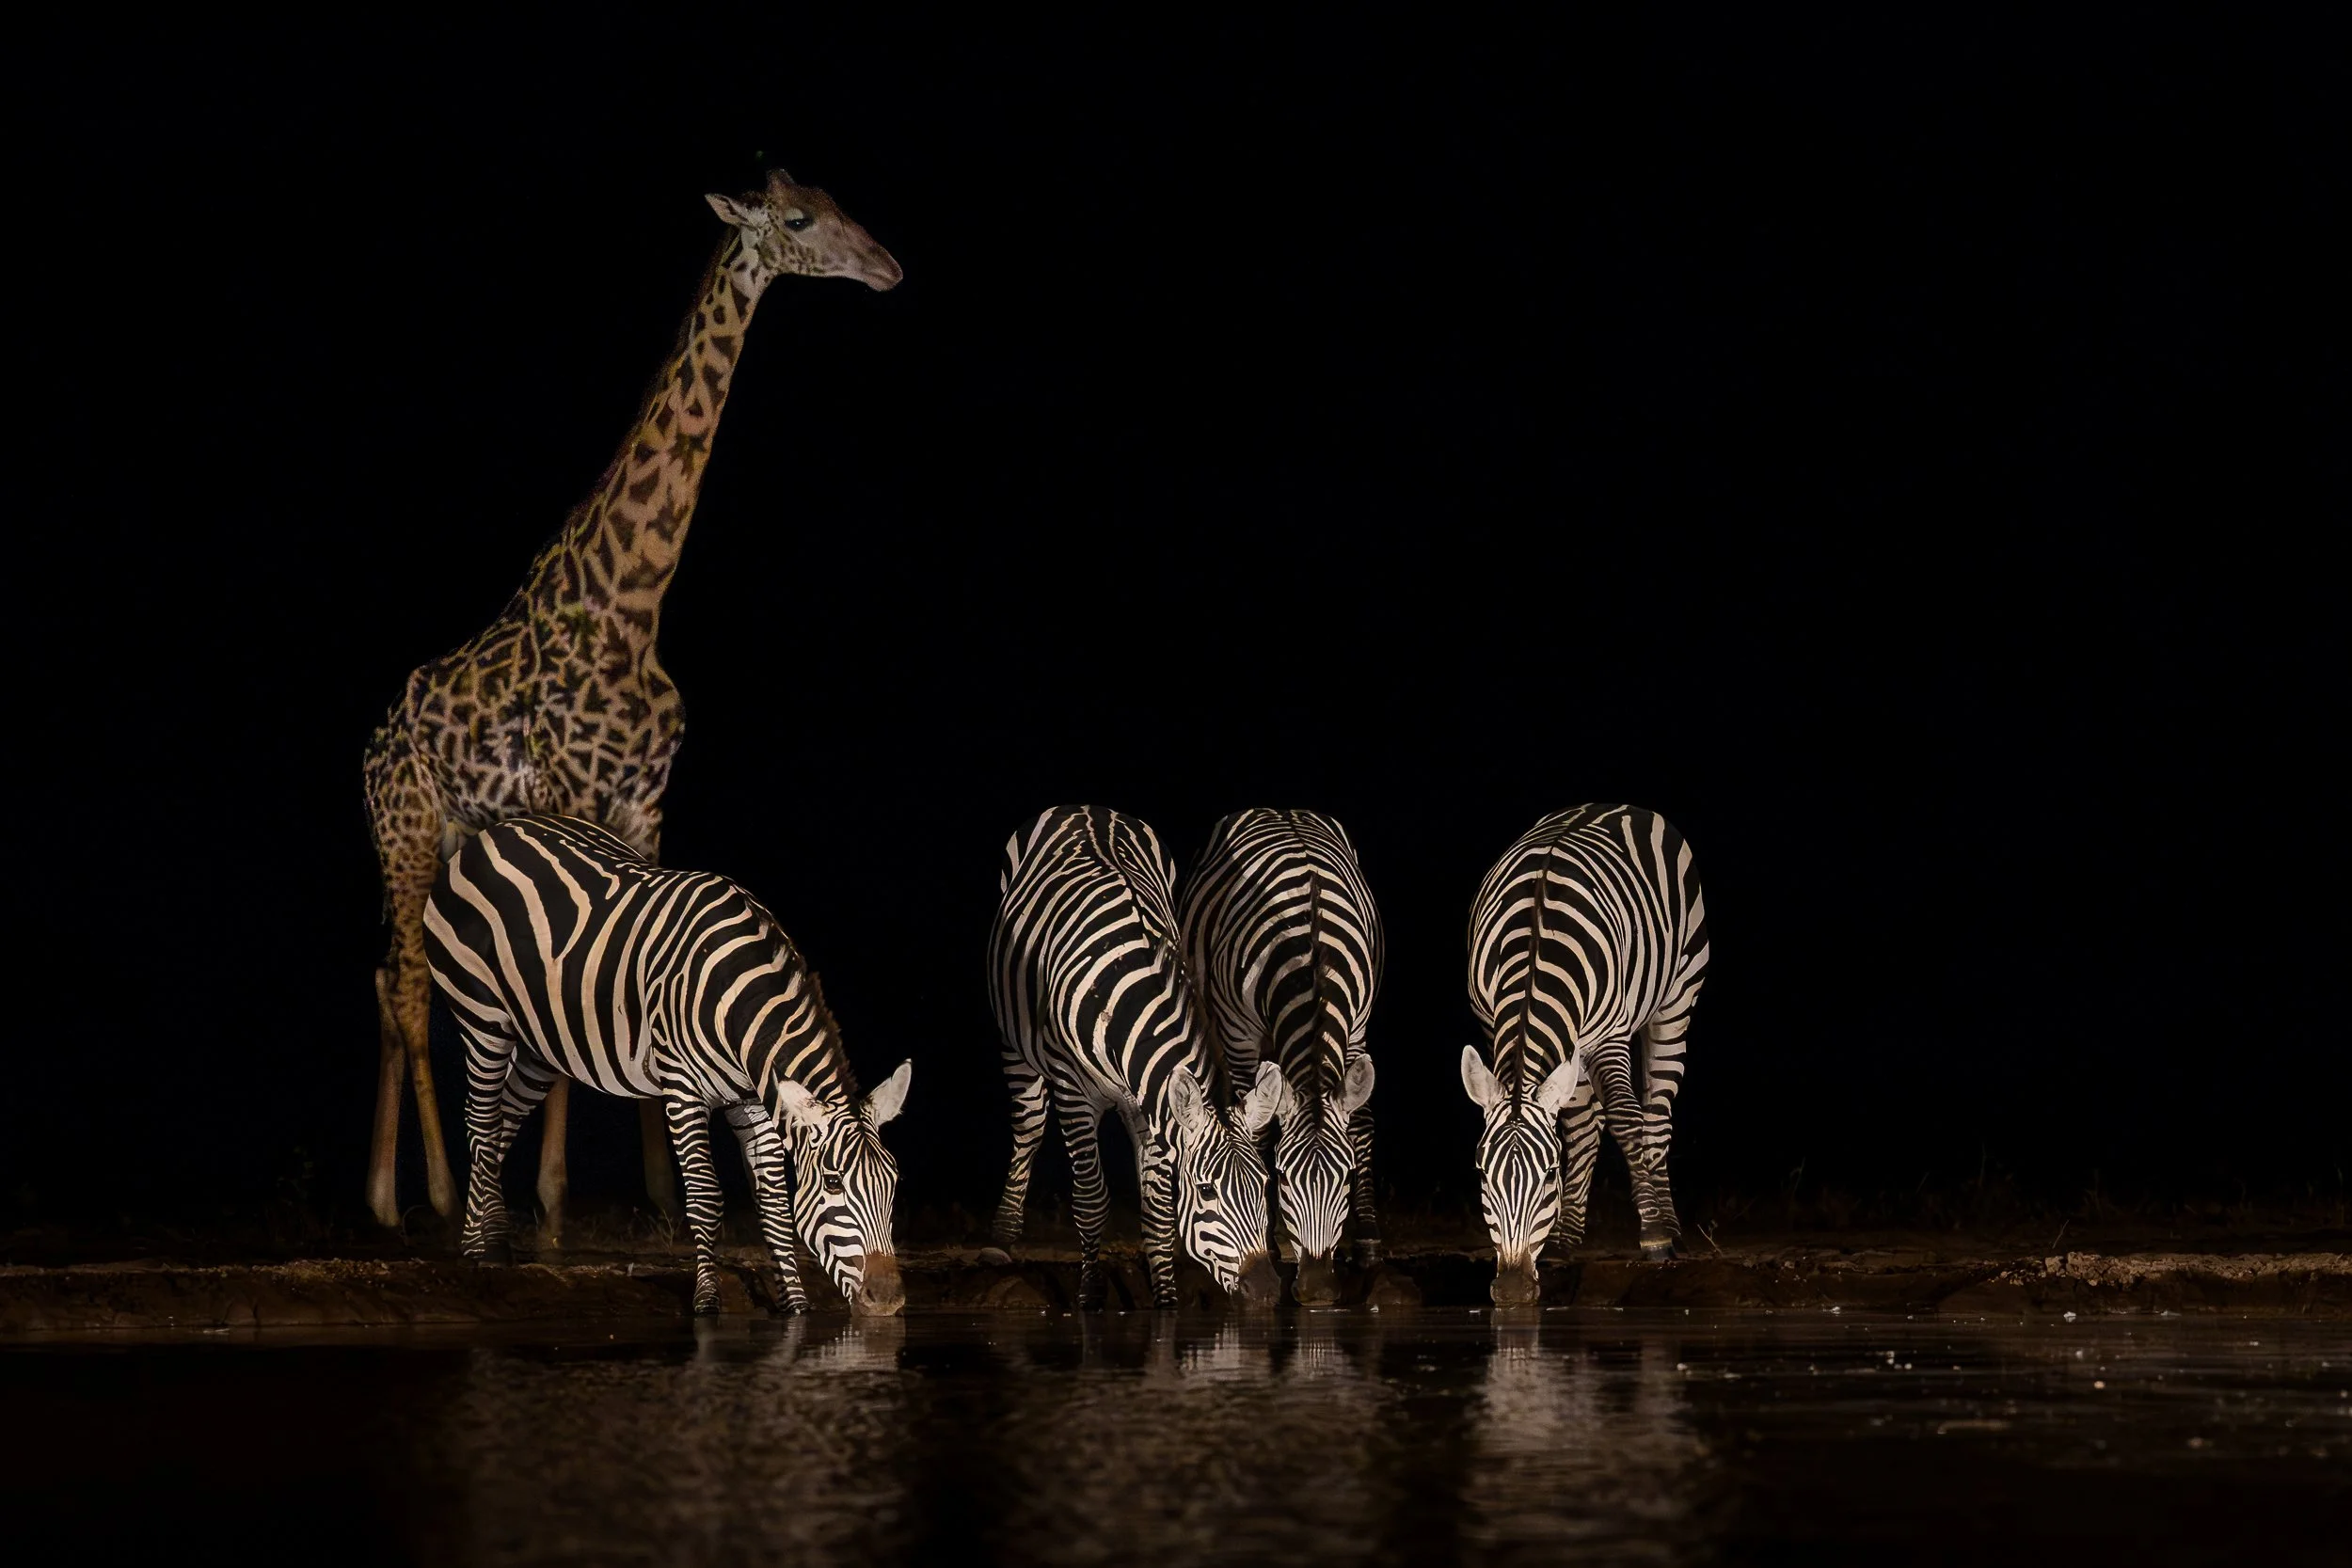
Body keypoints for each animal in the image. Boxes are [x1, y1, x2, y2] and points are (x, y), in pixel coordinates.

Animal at [362, 167, 901, 1236]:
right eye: (799, 219)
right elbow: (575, 981)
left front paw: (661, 1198)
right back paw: (435, 1193)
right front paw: (552, 1199)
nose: (888, 267)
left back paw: (381, 1197)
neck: (633, 600)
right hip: (403, 832)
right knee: (404, 987)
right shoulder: (574, 790)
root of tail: (370, 746)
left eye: (835, 200)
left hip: (450, 836)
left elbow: (636, 972)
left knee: (386, 979)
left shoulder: (646, 800)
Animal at [422, 814, 912, 1316]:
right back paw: (491, 1247)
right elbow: (705, 1196)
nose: (888, 1300)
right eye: (834, 1183)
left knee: (502, 1123)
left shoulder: (752, 1099)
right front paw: (706, 1298)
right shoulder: (684, 1091)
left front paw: (794, 1304)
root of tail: (493, 831)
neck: (738, 1000)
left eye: (893, 1182)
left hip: (541, 1046)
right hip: (482, 1017)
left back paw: (477, 1240)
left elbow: (775, 1200)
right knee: (481, 1121)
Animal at [986, 805, 1284, 1309]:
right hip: (1014, 1042)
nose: (1265, 1290)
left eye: (1264, 1186)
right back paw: (1002, 1236)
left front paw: (1165, 1298)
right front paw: (1090, 1295)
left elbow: (1159, 1209)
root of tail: (1087, 808)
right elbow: (1091, 1198)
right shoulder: (1073, 1093)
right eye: (1206, 1190)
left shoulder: (1155, 1102)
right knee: (1028, 1125)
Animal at [1179, 808, 1384, 1306]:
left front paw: (1368, 1243)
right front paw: (1270, 1246)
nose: (1317, 1290)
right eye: (1283, 1178)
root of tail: (1280, 809)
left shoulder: (1358, 1026)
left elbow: (1361, 1122)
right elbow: (1258, 1133)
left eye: (1347, 1176)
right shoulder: (1239, 1035)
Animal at [1461, 804, 1708, 1305]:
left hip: (1677, 998)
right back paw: (1568, 1236)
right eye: (1480, 1172)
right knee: (1584, 1124)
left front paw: (1654, 1235)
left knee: (1656, 1115)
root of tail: (1621, 805)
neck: (1536, 940)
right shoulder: (1494, 1024)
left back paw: (1669, 1226)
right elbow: (1577, 1127)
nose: (1512, 1290)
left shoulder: (1611, 1035)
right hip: (1574, 1045)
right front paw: (1561, 1240)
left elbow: (1628, 1122)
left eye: (1550, 1174)